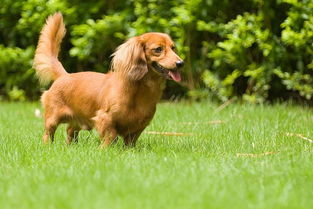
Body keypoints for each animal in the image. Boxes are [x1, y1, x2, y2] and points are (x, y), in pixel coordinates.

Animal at [33, 13, 185, 148]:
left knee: (70, 130)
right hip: (52, 118)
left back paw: (71, 146)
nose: (180, 63)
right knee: (48, 133)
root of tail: (64, 75)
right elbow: (110, 135)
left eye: (173, 48)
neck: (140, 91)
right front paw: (104, 149)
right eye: (158, 49)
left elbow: (131, 141)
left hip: (78, 120)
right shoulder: (105, 118)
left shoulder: (139, 125)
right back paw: (48, 146)